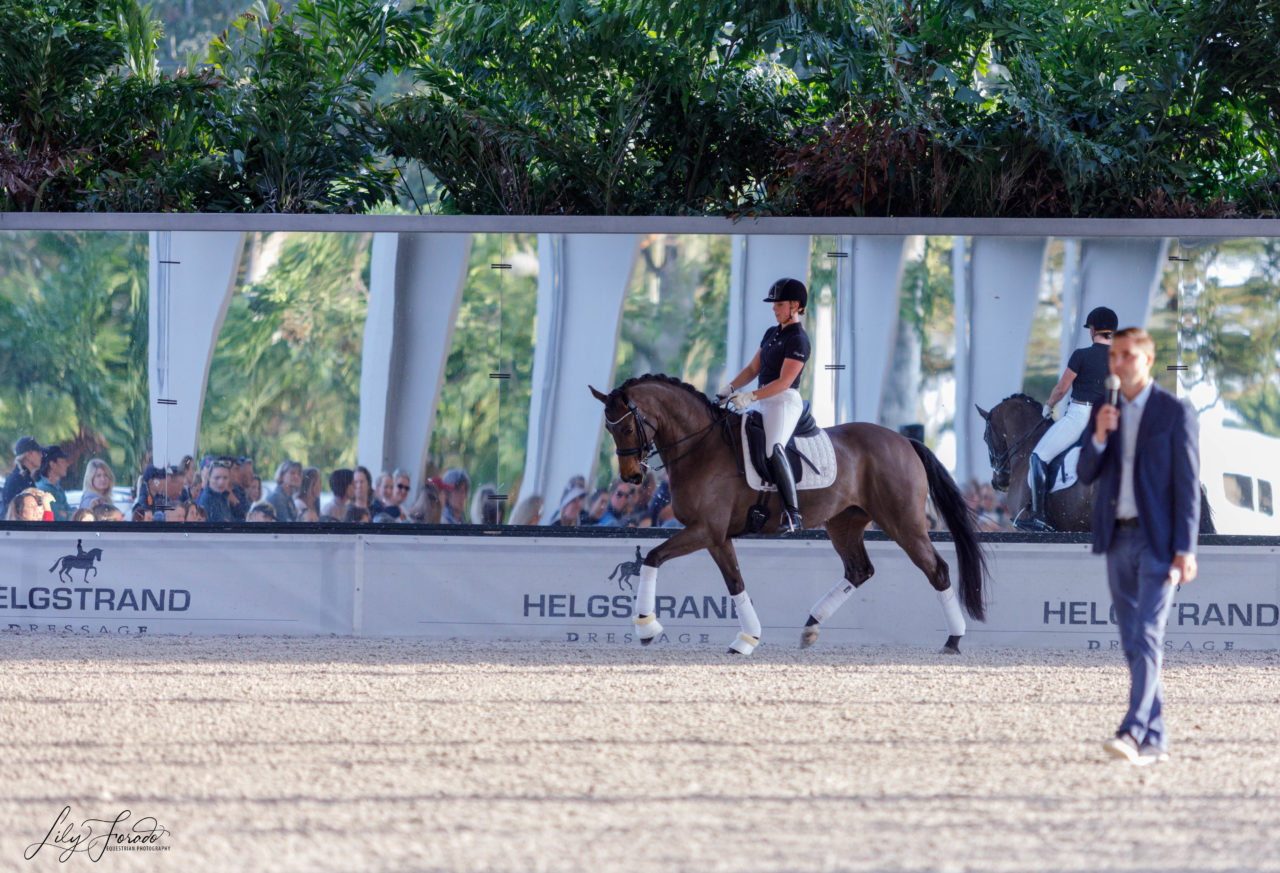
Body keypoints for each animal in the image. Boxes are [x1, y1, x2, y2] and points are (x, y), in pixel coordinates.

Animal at [588, 373, 988, 652]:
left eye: (627, 426)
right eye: (608, 428)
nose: (631, 477)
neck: (701, 445)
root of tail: (903, 439)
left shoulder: (706, 530)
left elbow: (654, 558)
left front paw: (646, 626)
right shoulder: (717, 537)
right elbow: (735, 583)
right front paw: (747, 638)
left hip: (903, 522)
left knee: (936, 570)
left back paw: (953, 640)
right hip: (844, 523)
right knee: (859, 570)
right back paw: (810, 627)